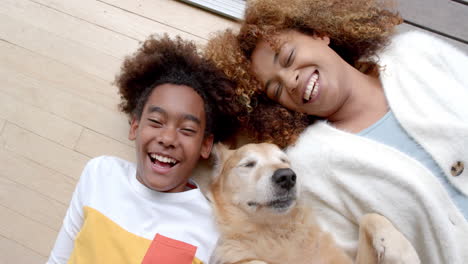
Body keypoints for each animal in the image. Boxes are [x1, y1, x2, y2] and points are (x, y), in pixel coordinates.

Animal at [207, 144, 418, 264]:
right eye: (248, 164)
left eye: (284, 161)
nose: (287, 176)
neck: (277, 230)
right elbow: (250, 261)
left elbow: (370, 216)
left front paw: (403, 251)